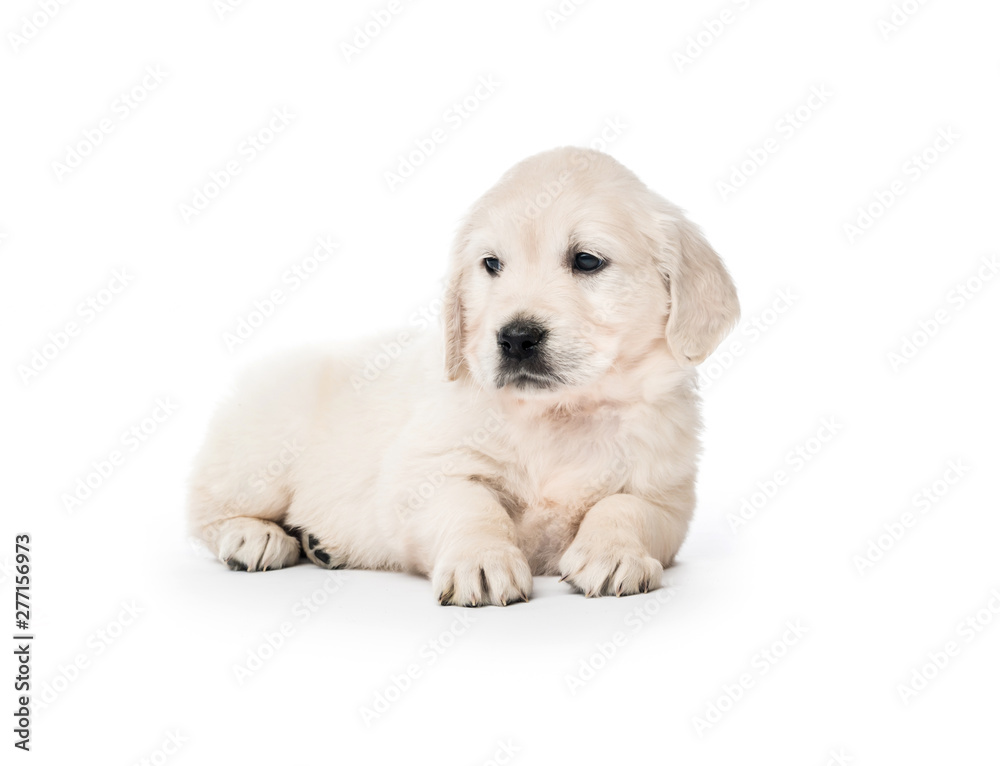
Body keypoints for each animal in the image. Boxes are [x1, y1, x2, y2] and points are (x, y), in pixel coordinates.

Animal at [189, 148, 736, 608]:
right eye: (491, 264)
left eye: (586, 260)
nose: (515, 338)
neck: (561, 412)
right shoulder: (424, 472)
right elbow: (470, 504)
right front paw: (483, 561)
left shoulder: (667, 495)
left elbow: (625, 507)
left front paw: (614, 553)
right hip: (260, 453)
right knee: (203, 509)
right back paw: (254, 536)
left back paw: (320, 543)